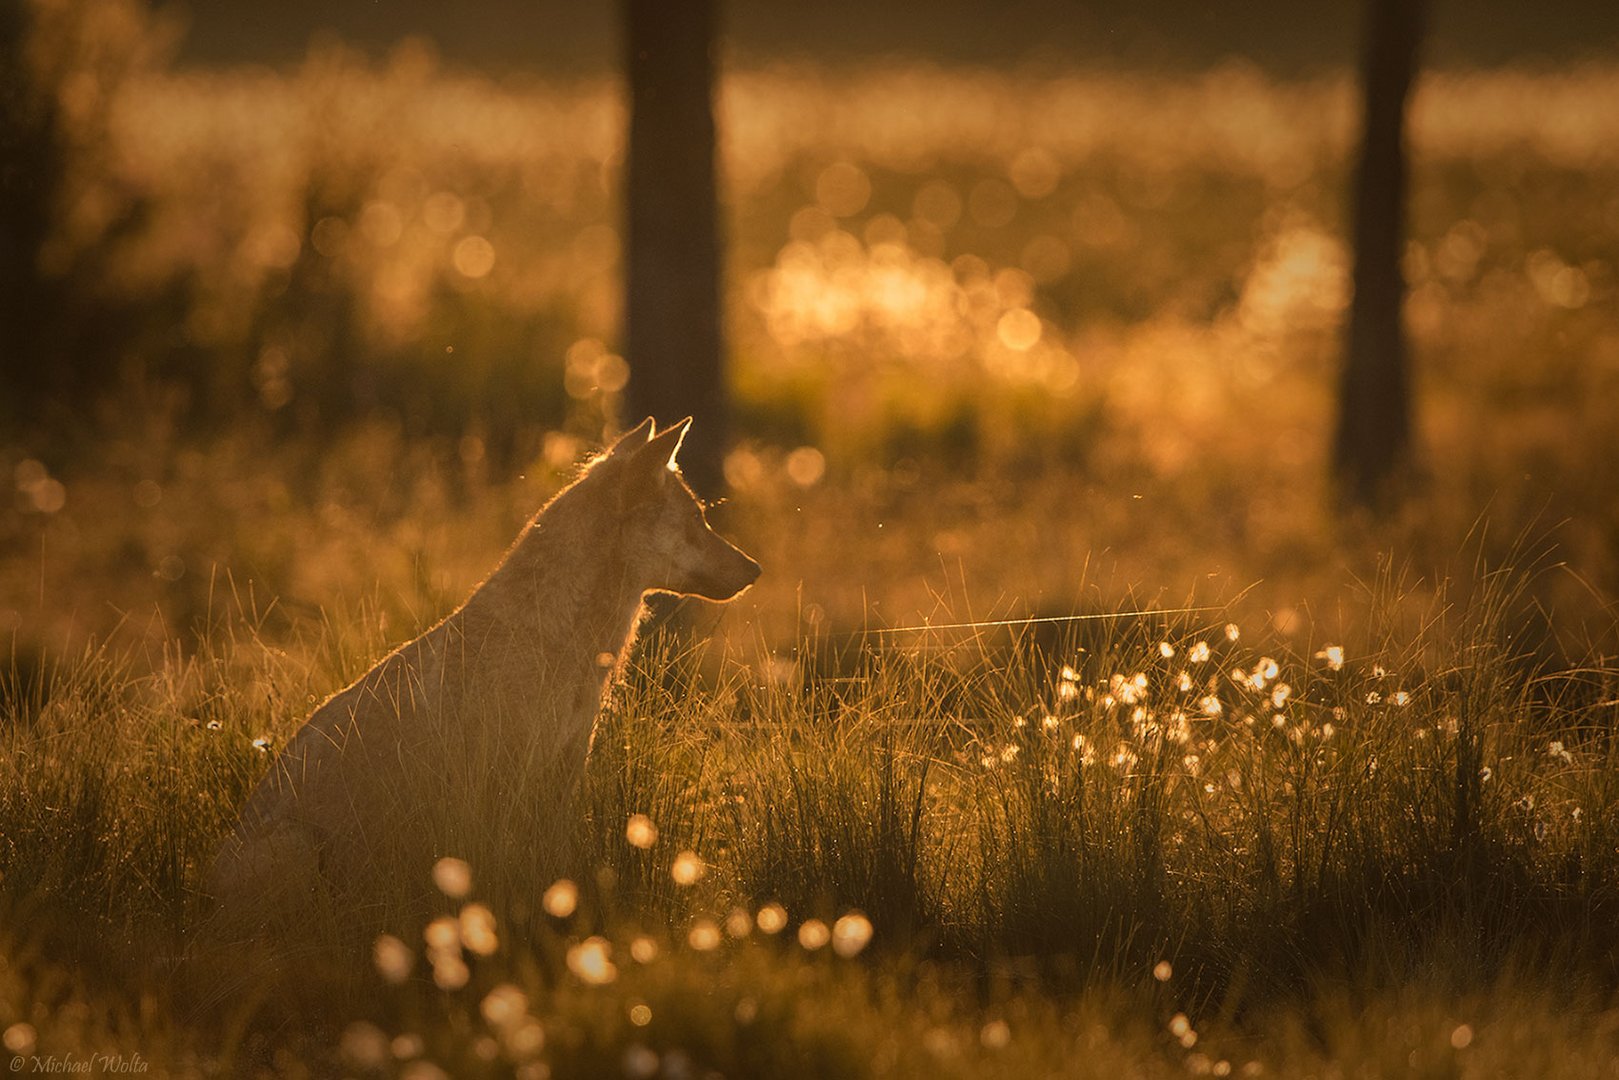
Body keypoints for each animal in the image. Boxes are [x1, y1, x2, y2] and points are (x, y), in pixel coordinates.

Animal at [202, 417, 757, 952]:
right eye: (698, 520)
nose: (755, 567)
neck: (561, 645)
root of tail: (201, 896)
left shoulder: (562, 773)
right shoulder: (504, 783)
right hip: (297, 851)